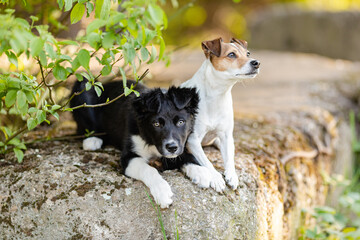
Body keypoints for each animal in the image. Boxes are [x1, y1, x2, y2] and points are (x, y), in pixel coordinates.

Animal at [71, 79, 207, 207]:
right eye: (156, 124)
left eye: (181, 122)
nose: (172, 147)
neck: (151, 142)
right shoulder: (128, 157)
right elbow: (148, 170)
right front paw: (162, 191)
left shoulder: (178, 147)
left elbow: (187, 156)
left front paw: (201, 172)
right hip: (82, 87)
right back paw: (92, 140)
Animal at [181, 37, 260, 191]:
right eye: (231, 55)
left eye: (248, 53)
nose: (256, 63)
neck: (217, 95)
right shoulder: (193, 140)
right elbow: (206, 161)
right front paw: (216, 177)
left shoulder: (226, 136)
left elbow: (229, 158)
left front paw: (232, 175)